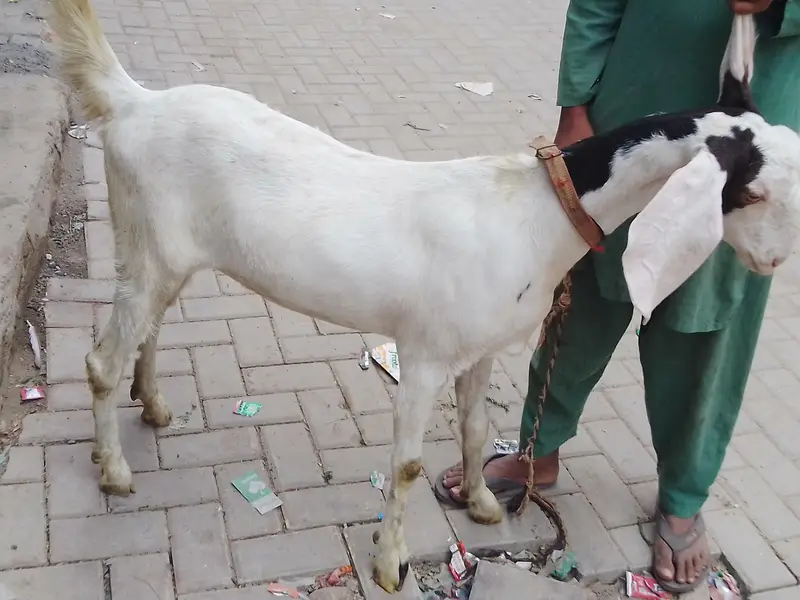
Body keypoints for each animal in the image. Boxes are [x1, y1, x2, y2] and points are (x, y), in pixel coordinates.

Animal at [49, 0, 800, 592]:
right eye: (753, 191)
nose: (772, 262)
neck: (536, 213)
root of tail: (135, 102)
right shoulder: (424, 355)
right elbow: (406, 465)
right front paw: (390, 565)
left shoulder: (481, 349)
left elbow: (473, 428)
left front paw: (485, 505)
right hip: (147, 244)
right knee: (101, 359)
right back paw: (114, 470)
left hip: (161, 252)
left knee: (151, 326)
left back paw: (153, 406)